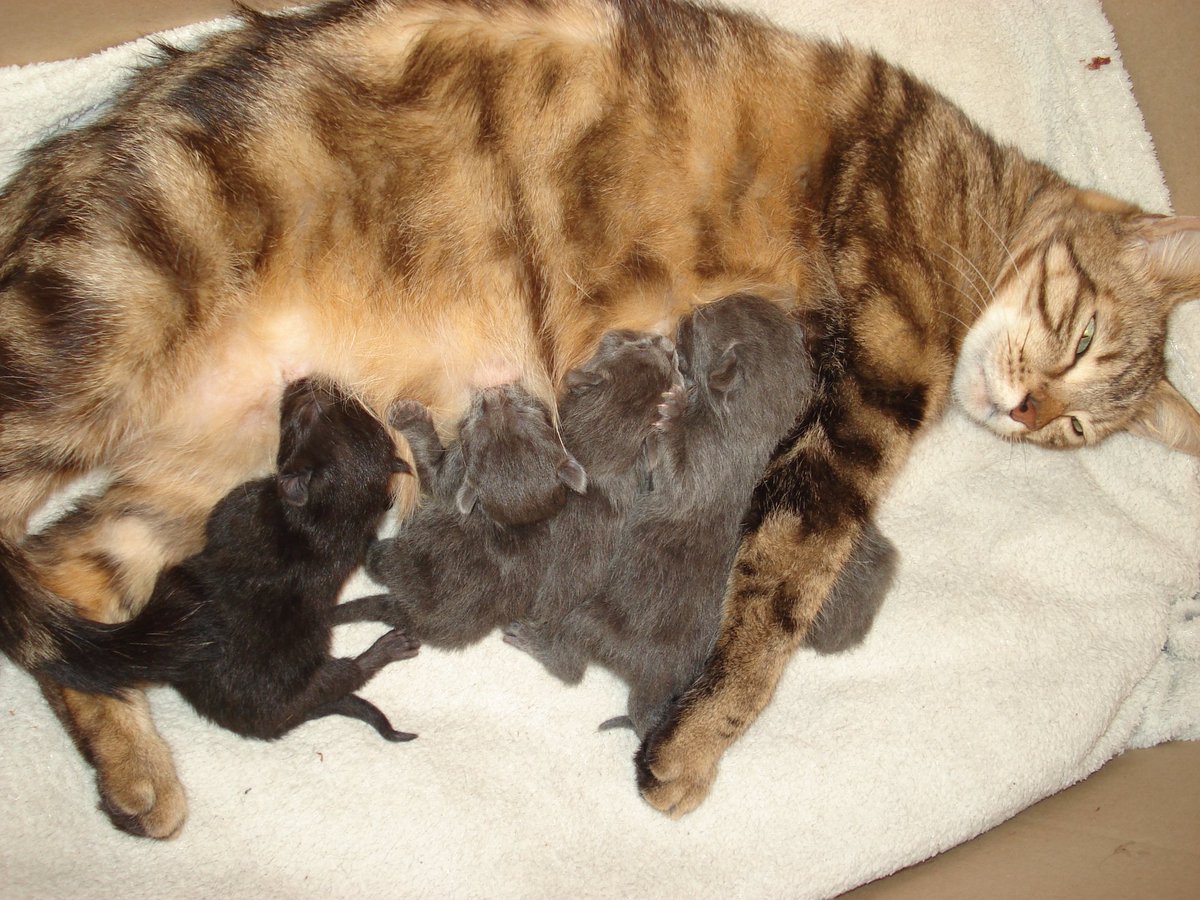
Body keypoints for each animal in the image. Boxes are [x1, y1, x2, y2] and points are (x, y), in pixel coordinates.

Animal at [42, 376, 420, 744]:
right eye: (358, 412)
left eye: (304, 414)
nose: (305, 380)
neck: (330, 519)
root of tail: (269, 726)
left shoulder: (239, 503)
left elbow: (219, 519)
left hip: (315, 678)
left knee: (346, 676)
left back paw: (384, 650)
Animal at [348, 331, 681, 648]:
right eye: (640, 347)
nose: (668, 344)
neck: (601, 442)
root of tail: (409, 615)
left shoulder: (456, 471)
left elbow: (432, 473)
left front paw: (410, 416)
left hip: (401, 556)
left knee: (378, 561)